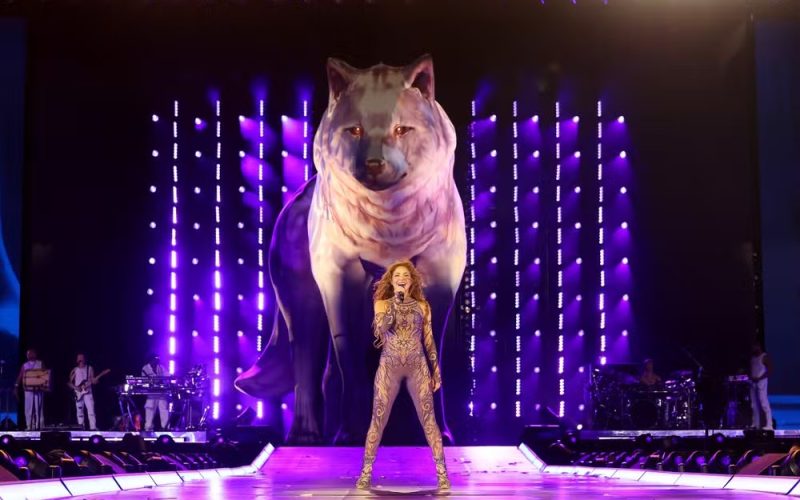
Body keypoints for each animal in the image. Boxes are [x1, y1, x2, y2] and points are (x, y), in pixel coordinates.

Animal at [235, 55, 466, 444]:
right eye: (355, 131)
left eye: (401, 130)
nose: (373, 164)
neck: (390, 224)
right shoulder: (340, 283)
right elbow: (352, 370)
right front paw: (351, 435)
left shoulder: (439, 284)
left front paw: (437, 435)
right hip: (304, 308)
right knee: (307, 372)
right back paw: (308, 435)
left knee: (325, 375)